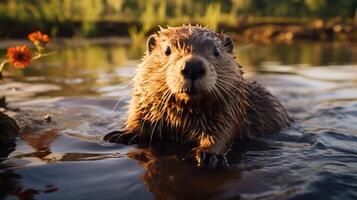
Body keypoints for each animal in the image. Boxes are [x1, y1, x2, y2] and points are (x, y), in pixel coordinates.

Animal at [103, 25, 290, 169]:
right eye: (167, 50)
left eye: (216, 51)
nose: (192, 67)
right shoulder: (146, 99)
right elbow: (139, 116)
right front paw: (119, 134)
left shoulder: (231, 105)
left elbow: (224, 132)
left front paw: (208, 155)